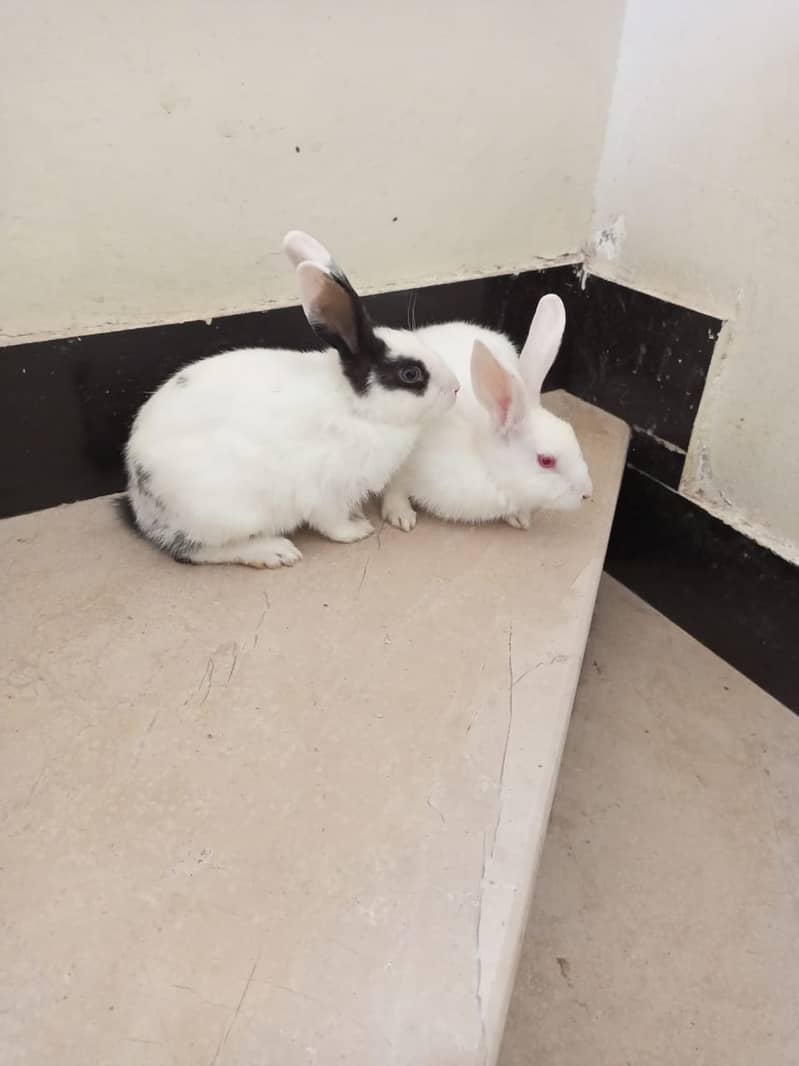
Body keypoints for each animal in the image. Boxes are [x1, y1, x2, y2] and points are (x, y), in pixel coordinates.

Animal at [119, 231, 460, 568]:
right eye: (410, 374)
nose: (456, 388)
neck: (356, 407)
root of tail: (140, 502)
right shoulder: (326, 490)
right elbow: (332, 522)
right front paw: (358, 529)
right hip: (224, 513)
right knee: (194, 551)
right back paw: (275, 552)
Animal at [380, 294, 593, 532]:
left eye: (571, 432)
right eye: (546, 461)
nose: (587, 493)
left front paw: (520, 518)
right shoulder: (402, 464)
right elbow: (396, 487)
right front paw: (401, 516)